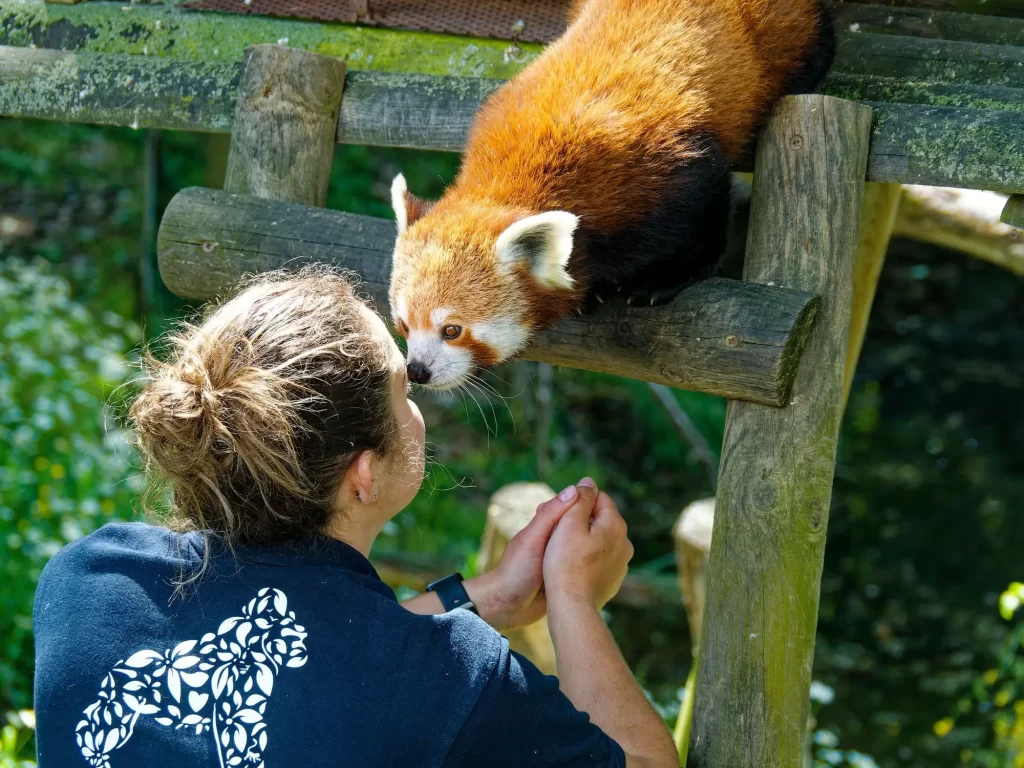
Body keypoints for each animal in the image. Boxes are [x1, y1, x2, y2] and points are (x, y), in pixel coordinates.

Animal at [387, 0, 835, 387]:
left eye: (452, 329)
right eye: (404, 324)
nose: (418, 371)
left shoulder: (670, 165)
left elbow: (704, 207)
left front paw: (665, 278)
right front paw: (591, 292)